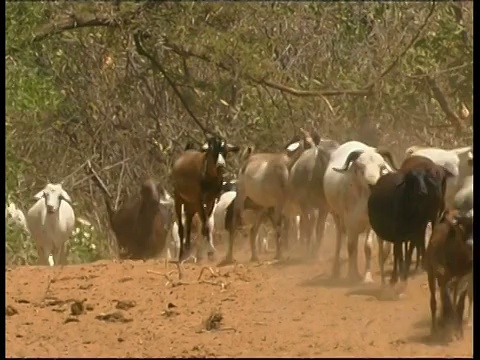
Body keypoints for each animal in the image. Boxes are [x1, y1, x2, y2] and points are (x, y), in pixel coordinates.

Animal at [324, 141, 396, 284]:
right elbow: (351, 247)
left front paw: (367, 278)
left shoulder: (371, 223)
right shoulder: (349, 221)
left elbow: (367, 248)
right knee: (339, 241)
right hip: (336, 216)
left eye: (381, 167)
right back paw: (336, 271)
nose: (372, 184)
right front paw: (352, 276)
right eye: (361, 166)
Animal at [426, 210, 470, 338]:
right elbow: (445, 297)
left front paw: (458, 330)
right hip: (431, 274)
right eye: (463, 228)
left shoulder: (465, 277)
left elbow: (460, 304)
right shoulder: (440, 273)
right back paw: (435, 328)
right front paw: (448, 321)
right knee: (434, 301)